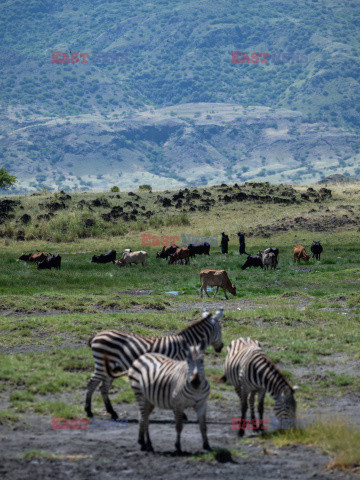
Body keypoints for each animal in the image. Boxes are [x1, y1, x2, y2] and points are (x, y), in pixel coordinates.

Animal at [85, 310, 224, 418]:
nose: (221, 347)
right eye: (221, 329)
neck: (186, 346)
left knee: (103, 388)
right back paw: (89, 411)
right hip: (102, 365)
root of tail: (97, 335)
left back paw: (112, 413)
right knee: (92, 384)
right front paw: (182, 414)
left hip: (112, 367)